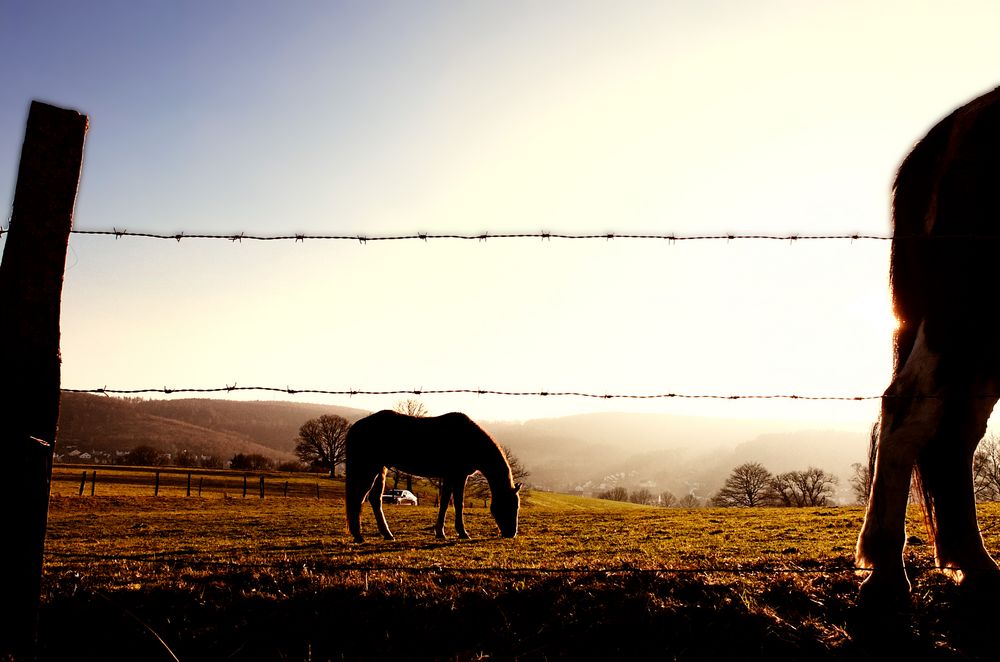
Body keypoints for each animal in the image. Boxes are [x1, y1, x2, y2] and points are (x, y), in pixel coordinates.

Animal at [346, 412, 524, 548]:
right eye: (509, 506)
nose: (511, 534)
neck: (469, 440)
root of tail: (356, 427)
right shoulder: (459, 476)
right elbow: (458, 503)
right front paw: (462, 533)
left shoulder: (449, 477)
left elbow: (445, 503)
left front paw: (440, 532)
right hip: (369, 468)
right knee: (358, 498)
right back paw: (359, 536)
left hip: (380, 469)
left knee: (375, 499)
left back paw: (387, 534)